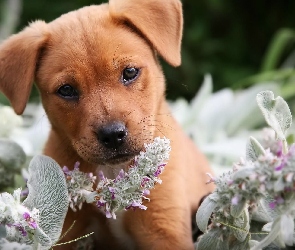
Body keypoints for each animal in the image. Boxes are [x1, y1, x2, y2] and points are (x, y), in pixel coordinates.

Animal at [0, 0, 215, 249]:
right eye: (66, 89)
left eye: (130, 72)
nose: (112, 135)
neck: (113, 172)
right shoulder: (64, 228)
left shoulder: (164, 229)